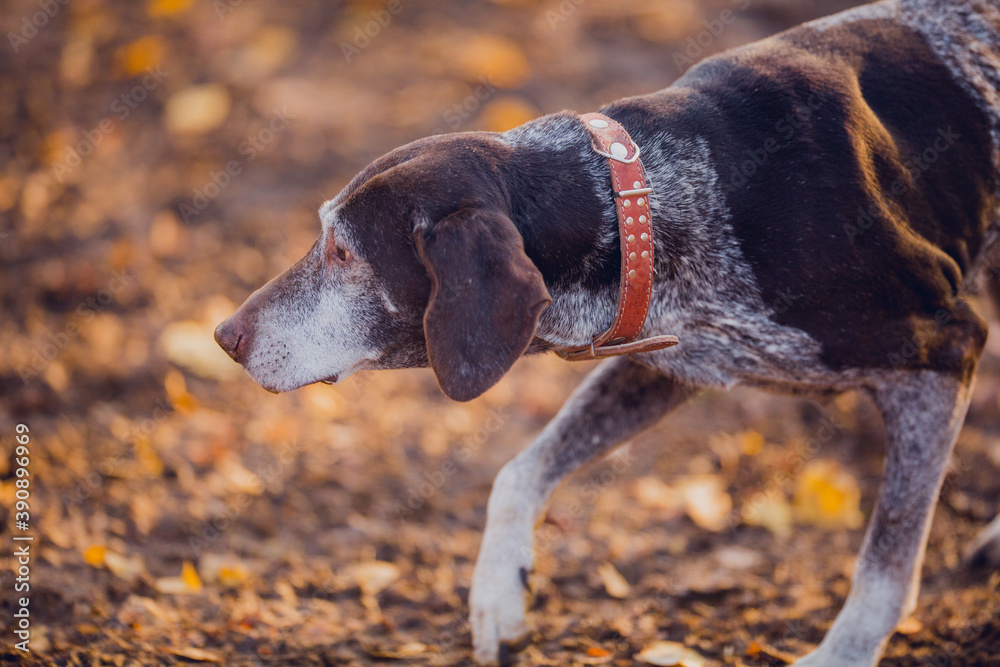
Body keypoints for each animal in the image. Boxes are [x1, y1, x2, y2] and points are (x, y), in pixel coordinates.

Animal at [217, 2, 1000, 664]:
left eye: (344, 252)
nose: (224, 334)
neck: (646, 195)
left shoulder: (943, 353)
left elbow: (887, 562)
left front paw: (845, 651)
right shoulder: (662, 352)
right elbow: (518, 472)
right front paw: (498, 595)